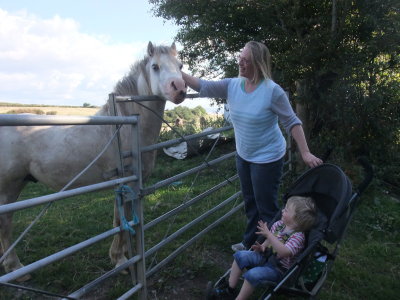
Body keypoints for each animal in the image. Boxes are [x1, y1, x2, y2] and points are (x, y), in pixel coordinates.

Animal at [0, 41, 187, 280]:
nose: (179, 87)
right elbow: (119, 220)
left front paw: (126, 254)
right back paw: (16, 268)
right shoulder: (121, 183)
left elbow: (128, 217)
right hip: (9, 187)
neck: (125, 127)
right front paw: (120, 260)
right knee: (5, 224)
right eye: (155, 66)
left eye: (180, 65)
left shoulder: (134, 184)